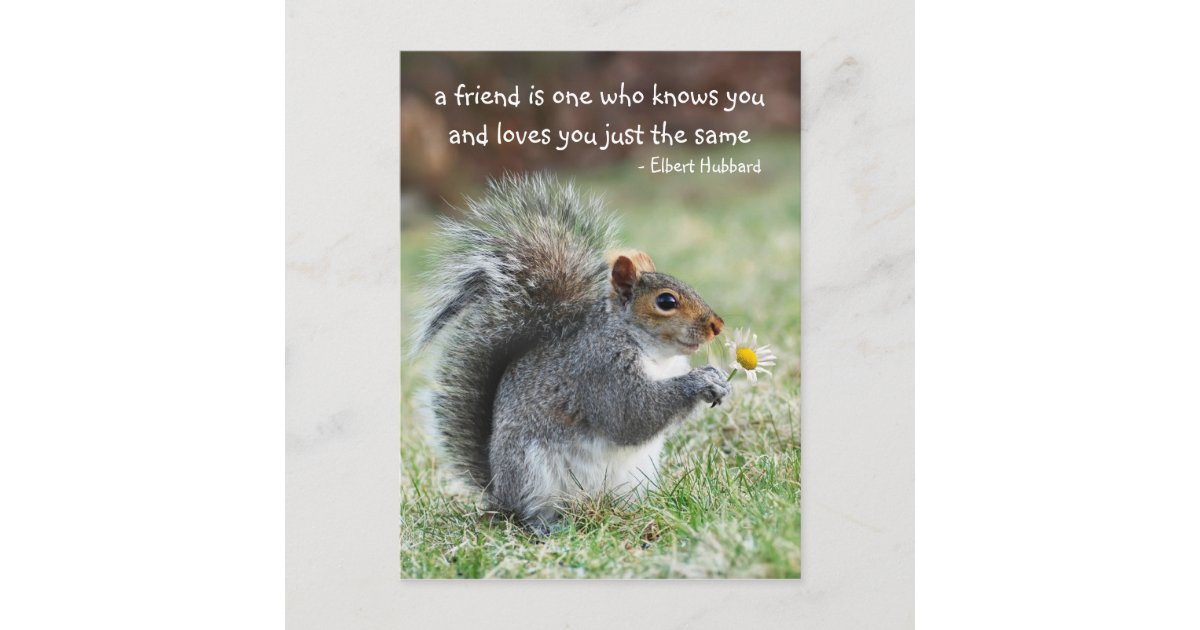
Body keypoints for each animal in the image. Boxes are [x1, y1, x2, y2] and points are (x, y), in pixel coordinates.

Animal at [414, 173, 729, 534]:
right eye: (666, 301)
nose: (717, 326)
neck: (655, 354)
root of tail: (497, 490)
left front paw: (720, 380)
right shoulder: (599, 370)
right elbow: (632, 414)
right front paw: (699, 382)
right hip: (532, 473)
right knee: (528, 513)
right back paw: (547, 527)